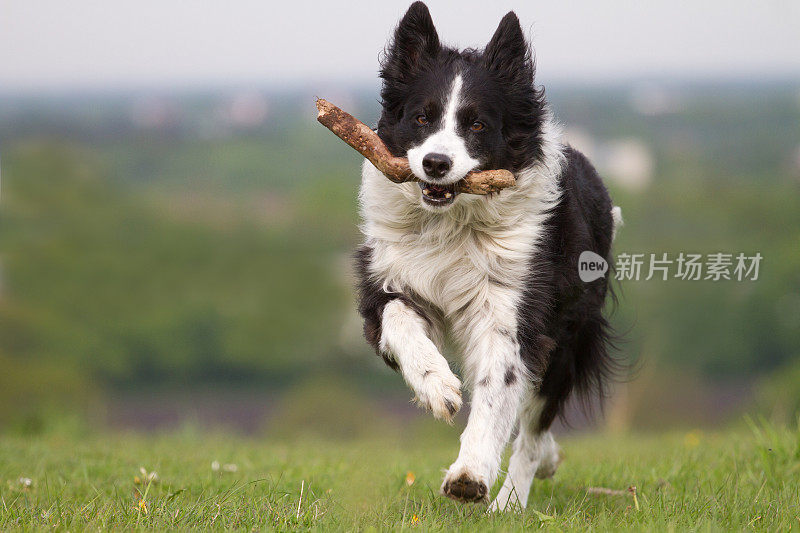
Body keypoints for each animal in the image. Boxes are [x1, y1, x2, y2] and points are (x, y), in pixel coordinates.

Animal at [356, 3, 624, 512]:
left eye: (477, 125)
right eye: (422, 118)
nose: (436, 164)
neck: (453, 223)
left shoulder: (515, 311)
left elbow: (498, 390)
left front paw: (469, 476)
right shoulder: (384, 279)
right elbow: (399, 320)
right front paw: (437, 386)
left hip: (568, 337)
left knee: (533, 431)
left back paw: (511, 502)